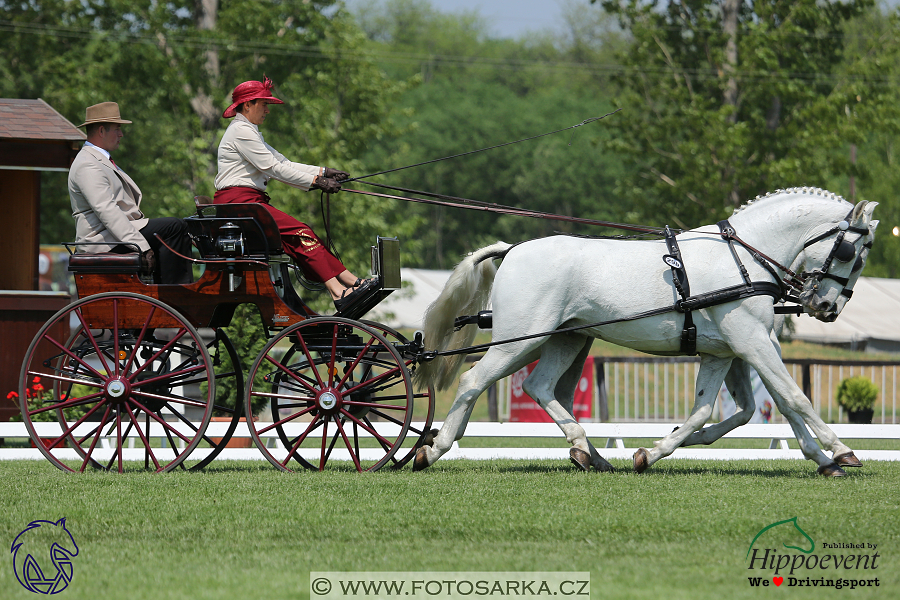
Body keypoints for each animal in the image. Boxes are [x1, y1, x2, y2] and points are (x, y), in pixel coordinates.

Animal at [414, 189, 880, 478]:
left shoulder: (728, 352)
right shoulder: (751, 341)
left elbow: (732, 410)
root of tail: (512, 249)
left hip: (563, 339)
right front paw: (841, 452)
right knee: (475, 381)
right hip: (524, 339)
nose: (827, 308)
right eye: (851, 253)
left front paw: (657, 450)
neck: (744, 260)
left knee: (540, 386)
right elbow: (793, 396)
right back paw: (432, 450)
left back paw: (587, 453)